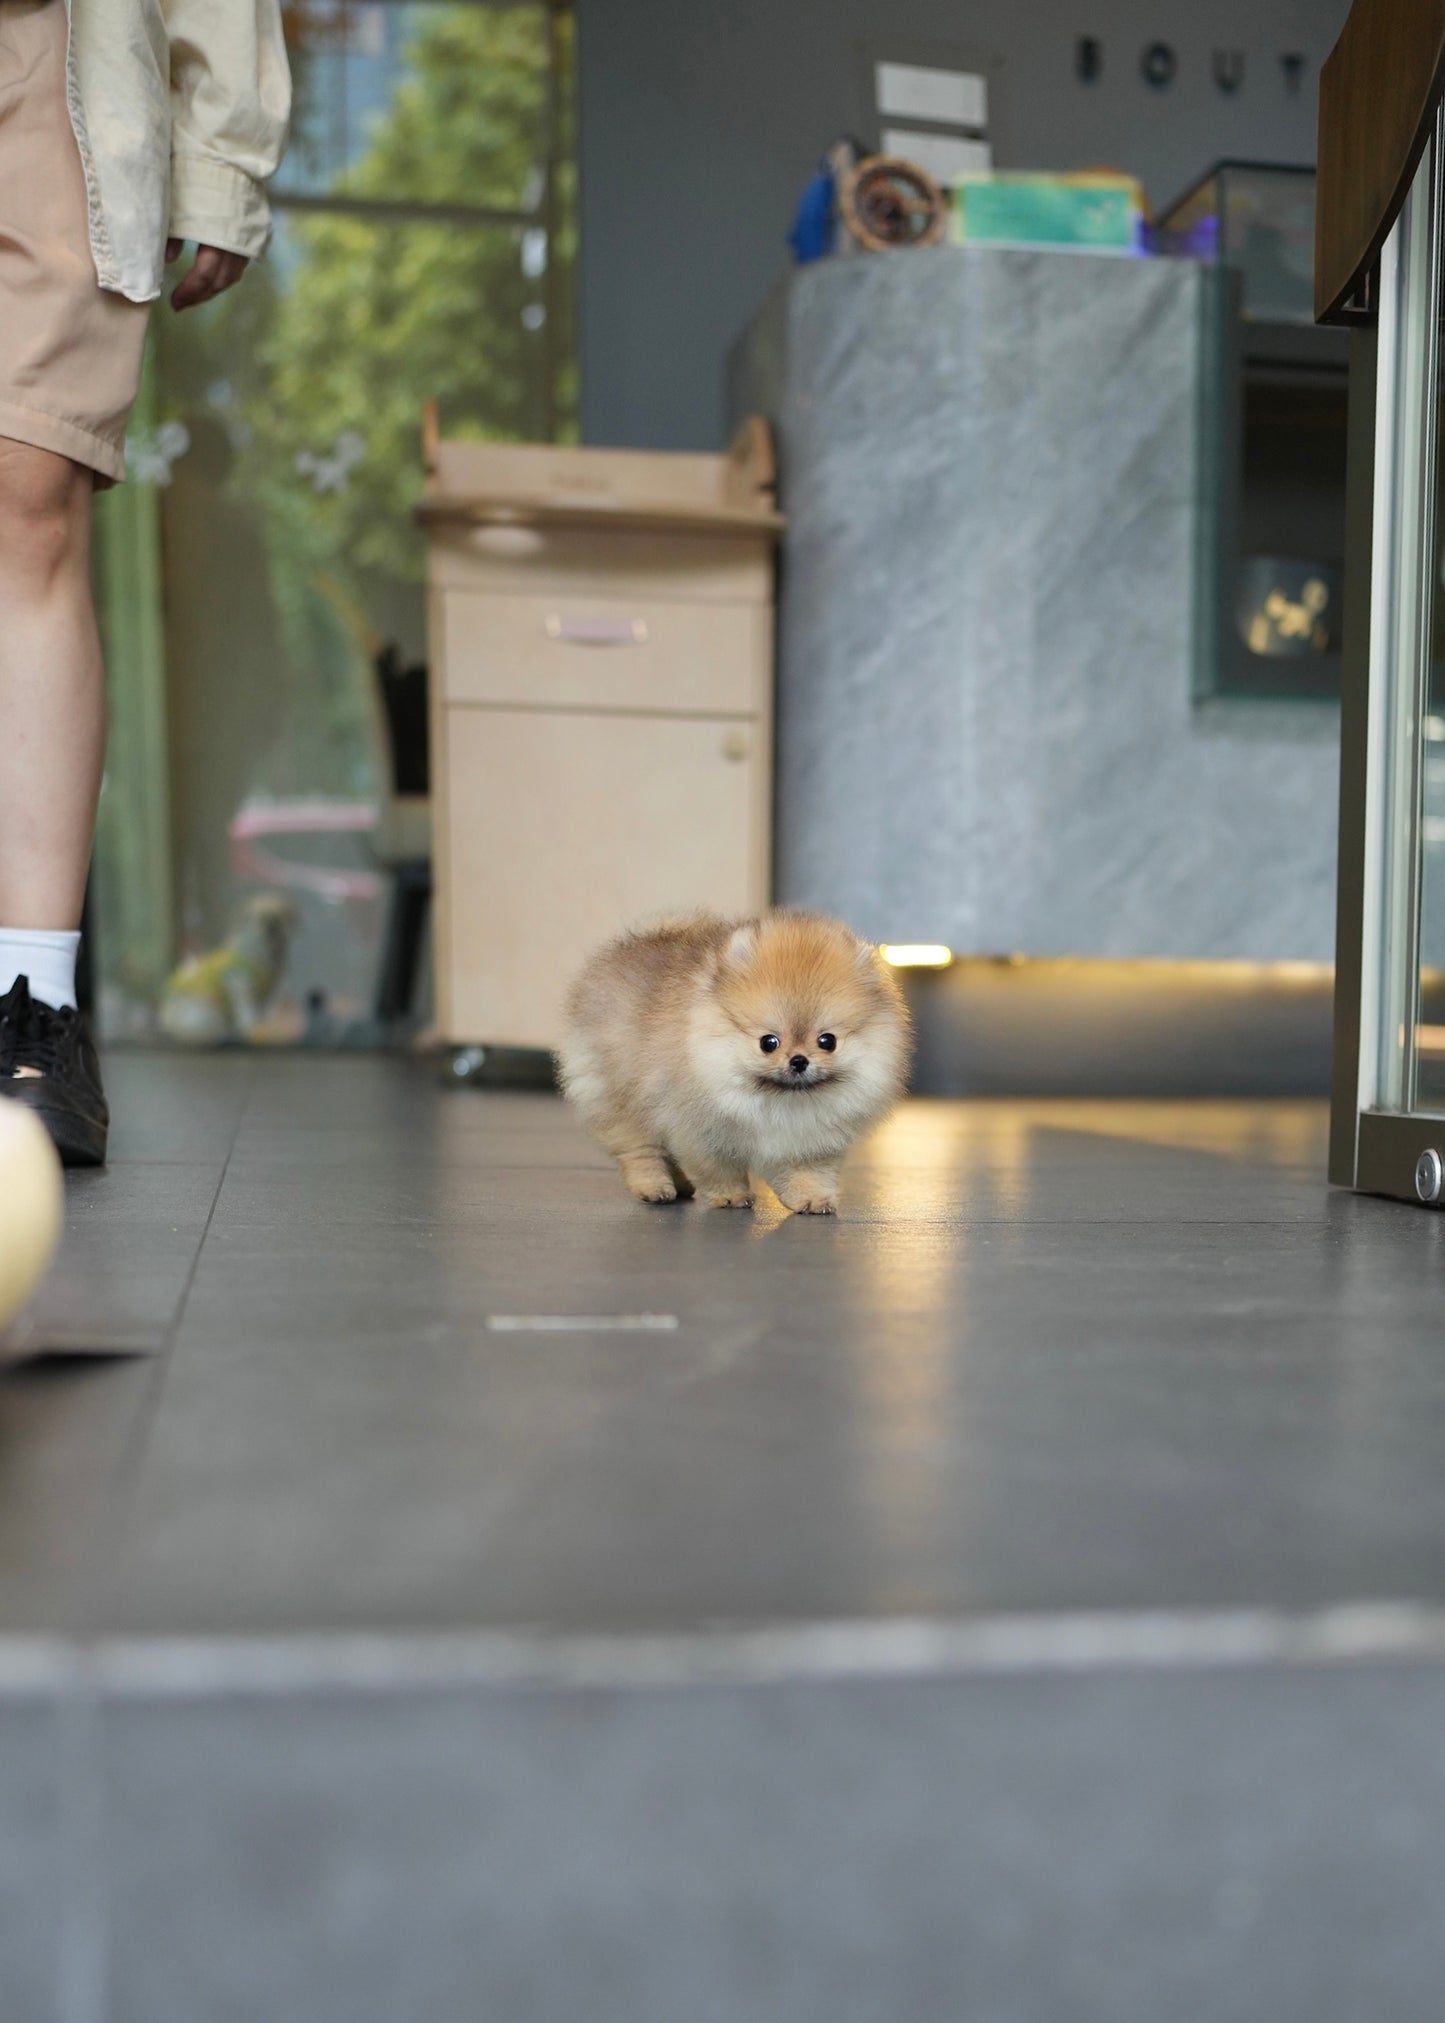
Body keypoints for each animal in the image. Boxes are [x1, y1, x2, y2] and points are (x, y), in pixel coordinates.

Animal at [558, 910, 906, 1205]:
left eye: (827, 1041)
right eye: (768, 1042)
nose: (798, 1061)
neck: (781, 1101)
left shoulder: (812, 1140)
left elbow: (808, 1172)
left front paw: (812, 1198)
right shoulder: (700, 1132)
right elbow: (717, 1168)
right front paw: (730, 1196)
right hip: (621, 1097)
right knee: (640, 1150)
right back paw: (654, 1188)